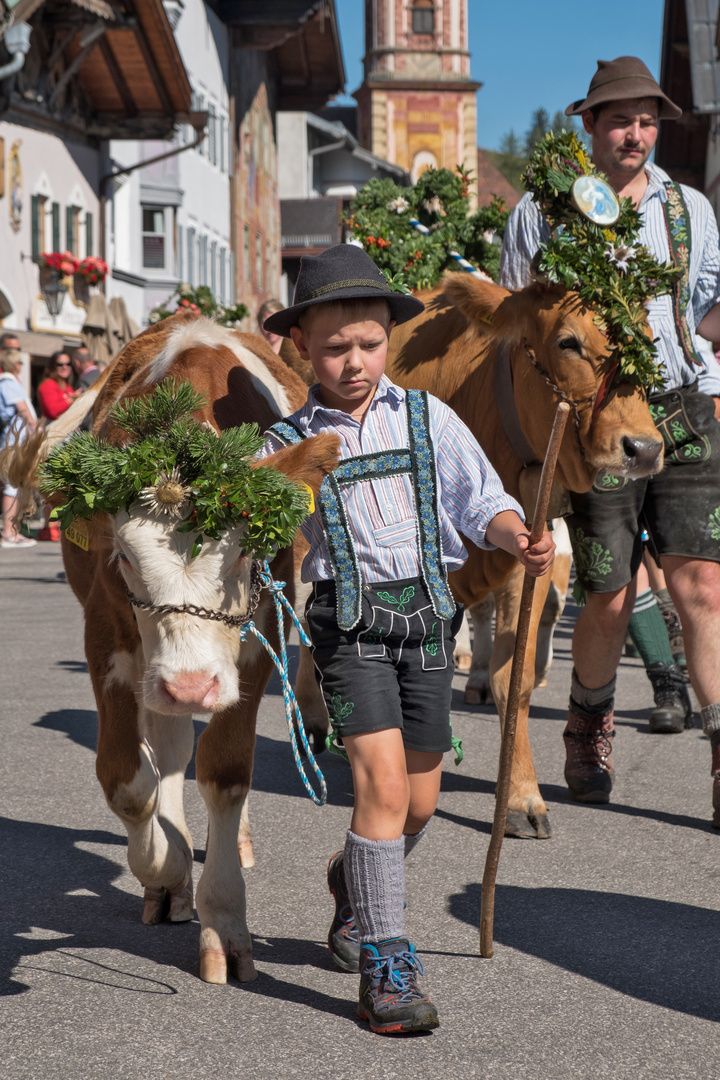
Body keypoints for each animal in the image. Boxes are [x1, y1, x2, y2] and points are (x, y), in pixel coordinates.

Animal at [5, 315, 338, 989]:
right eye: (125, 557)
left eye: (245, 552)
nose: (191, 687)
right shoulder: (104, 632)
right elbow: (128, 780)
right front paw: (169, 867)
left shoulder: (259, 635)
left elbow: (226, 770)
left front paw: (224, 921)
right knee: (171, 746)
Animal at [386, 274, 660, 838]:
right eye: (569, 342)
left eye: (648, 343)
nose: (644, 449)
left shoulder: (522, 552)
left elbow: (514, 677)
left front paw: (521, 797)